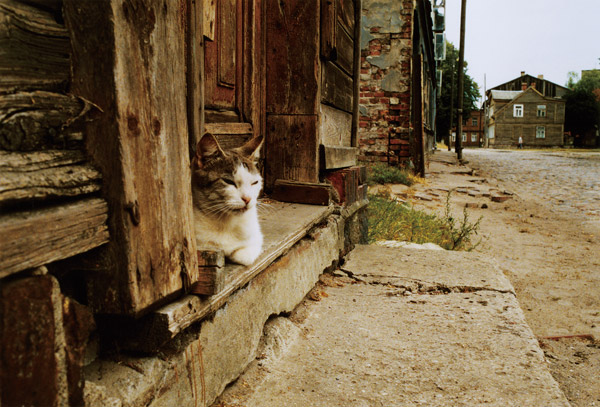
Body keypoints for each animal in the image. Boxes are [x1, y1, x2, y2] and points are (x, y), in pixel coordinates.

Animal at [192, 133, 264, 268]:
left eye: (255, 182)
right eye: (228, 181)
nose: (247, 198)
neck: (225, 221)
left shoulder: (256, 238)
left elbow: (244, 255)